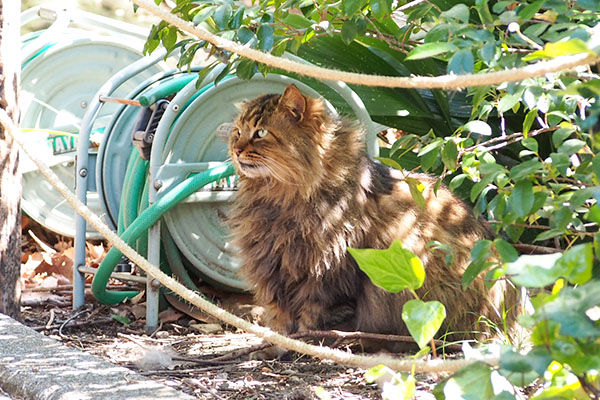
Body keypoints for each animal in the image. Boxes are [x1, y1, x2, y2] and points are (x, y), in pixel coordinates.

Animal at [227, 84, 516, 346]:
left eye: (261, 132)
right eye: (237, 132)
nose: (236, 150)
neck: (278, 199)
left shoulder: (327, 274)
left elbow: (313, 319)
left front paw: (304, 345)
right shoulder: (274, 268)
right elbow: (281, 319)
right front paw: (278, 346)